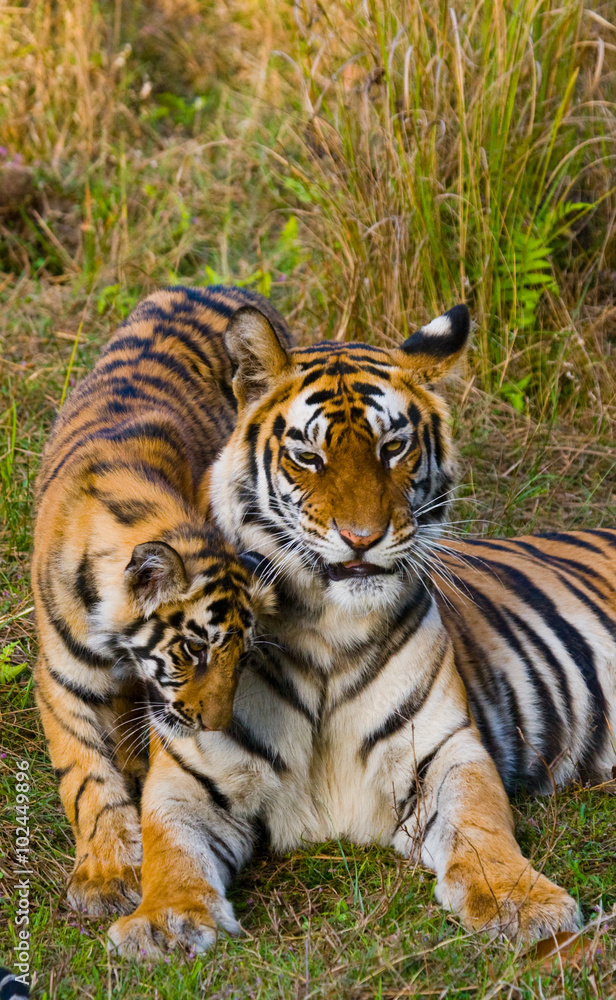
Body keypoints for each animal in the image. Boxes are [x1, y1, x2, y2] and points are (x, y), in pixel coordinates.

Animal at [32, 286, 282, 917]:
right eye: (195, 650)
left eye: (244, 658)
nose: (215, 725)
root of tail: (219, 287)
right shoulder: (60, 679)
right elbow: (86, 776)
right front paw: (105, 875)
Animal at [107, 292, 616, 959]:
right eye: (308, 456)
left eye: (392, 448)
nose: (362, 538)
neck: (329, 629)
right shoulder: (189, 773)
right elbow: (168, 849)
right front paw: (162, 922)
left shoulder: (445, 751)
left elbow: (483, 826)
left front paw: (522, 902)